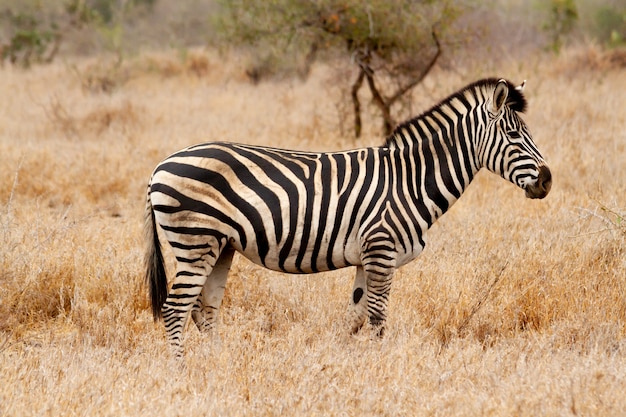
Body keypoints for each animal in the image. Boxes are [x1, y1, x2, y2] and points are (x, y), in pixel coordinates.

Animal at [144, 77, 548, 358]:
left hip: (220, 246)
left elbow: (354, 316)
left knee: (204, 311)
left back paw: (220, 365)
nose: (547, 181)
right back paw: (181, 373)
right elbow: (377, 317)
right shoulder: (382, 250)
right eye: (513, 135)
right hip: (195, 241)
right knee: (175, 310)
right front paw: (380, 368)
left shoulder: (367, 256)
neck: (410, 180)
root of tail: (161, 165)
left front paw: (336, 359)